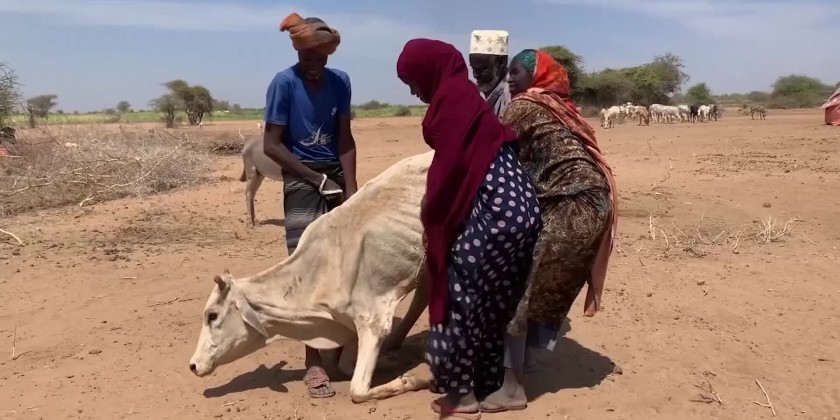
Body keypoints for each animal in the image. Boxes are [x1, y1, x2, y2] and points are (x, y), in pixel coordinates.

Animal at [189, 151, 434, 403]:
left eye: (212, 315)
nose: (193, 365)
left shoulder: (372, 320)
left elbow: (357, 390)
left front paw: (415, 379)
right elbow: (346, 366)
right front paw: (389, 362)